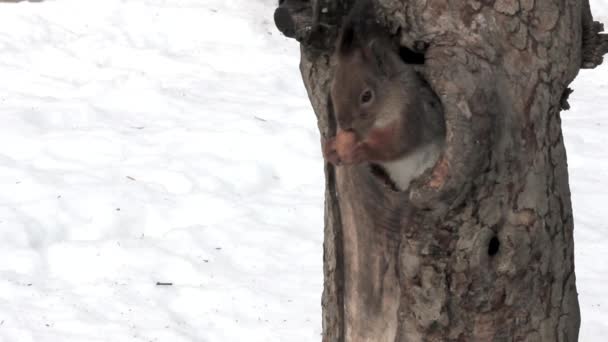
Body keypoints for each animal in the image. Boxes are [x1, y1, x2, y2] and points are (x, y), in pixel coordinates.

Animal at [320, 1, 444, 191]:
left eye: (367, 96)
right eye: (333, 90)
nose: (345, 124)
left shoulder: (412, 115)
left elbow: (395, 146)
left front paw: (360, 152)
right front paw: (330, 149)